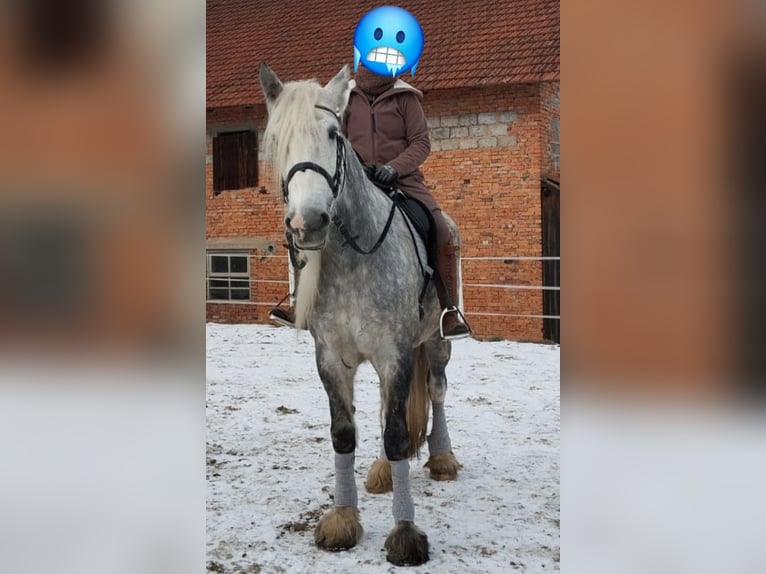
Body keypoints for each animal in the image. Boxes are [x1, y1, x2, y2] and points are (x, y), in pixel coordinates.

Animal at [260, 62, 462, 568]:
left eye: (334, 134)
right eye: (277, 140)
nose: (308, 222)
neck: (354, 256)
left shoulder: (395, 355)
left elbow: (396, 434)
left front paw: (405, 533)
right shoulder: (332, 359)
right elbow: (344, 433)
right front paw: (342, 520)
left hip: (435, 342)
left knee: (435, 391)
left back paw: (442, 458)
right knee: (387, 409)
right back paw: (384, 472)